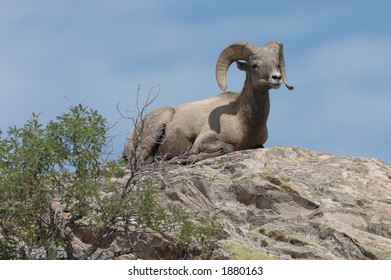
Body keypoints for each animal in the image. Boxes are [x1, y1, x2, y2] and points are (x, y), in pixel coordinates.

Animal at [124, 39, 292, 164]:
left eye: (277, 64)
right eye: (254, 65)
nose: (276, 78)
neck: (242, 122)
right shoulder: (204, 141)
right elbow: (227, 148)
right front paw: (186, 158)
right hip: (157, 127)